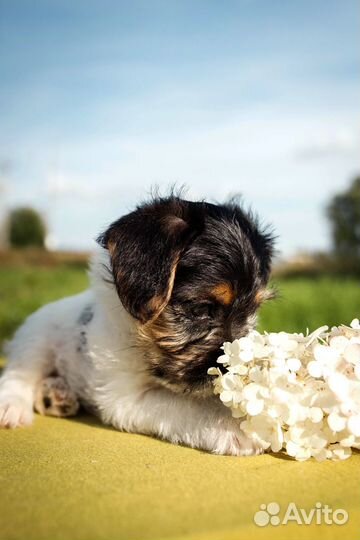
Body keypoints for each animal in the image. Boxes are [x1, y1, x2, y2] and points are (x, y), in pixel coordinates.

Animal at [0, 195, 274, 456]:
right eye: (200, 309)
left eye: (250, 312)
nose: (234, 369)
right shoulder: (126, 396)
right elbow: (190, 405)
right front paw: (235, 426)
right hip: (36, 337)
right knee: (20, 372)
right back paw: (13, 406)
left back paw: (55, 395)